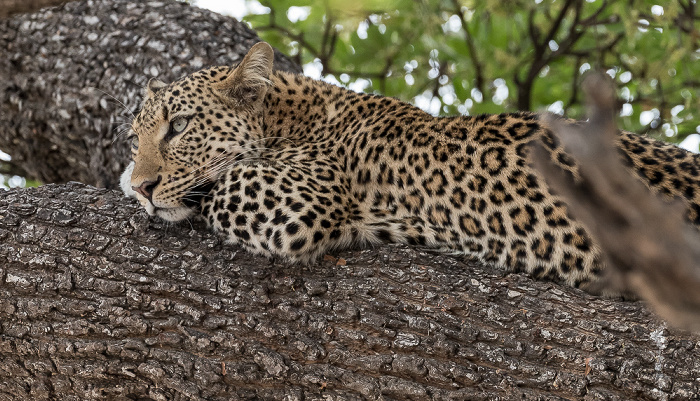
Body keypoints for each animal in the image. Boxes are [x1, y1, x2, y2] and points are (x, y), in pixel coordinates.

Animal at [120, 41, 700, 290]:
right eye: (133, 139)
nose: (145, 185)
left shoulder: (297, 200)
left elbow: (216, 185)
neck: (292, 115)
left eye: (179, 126)